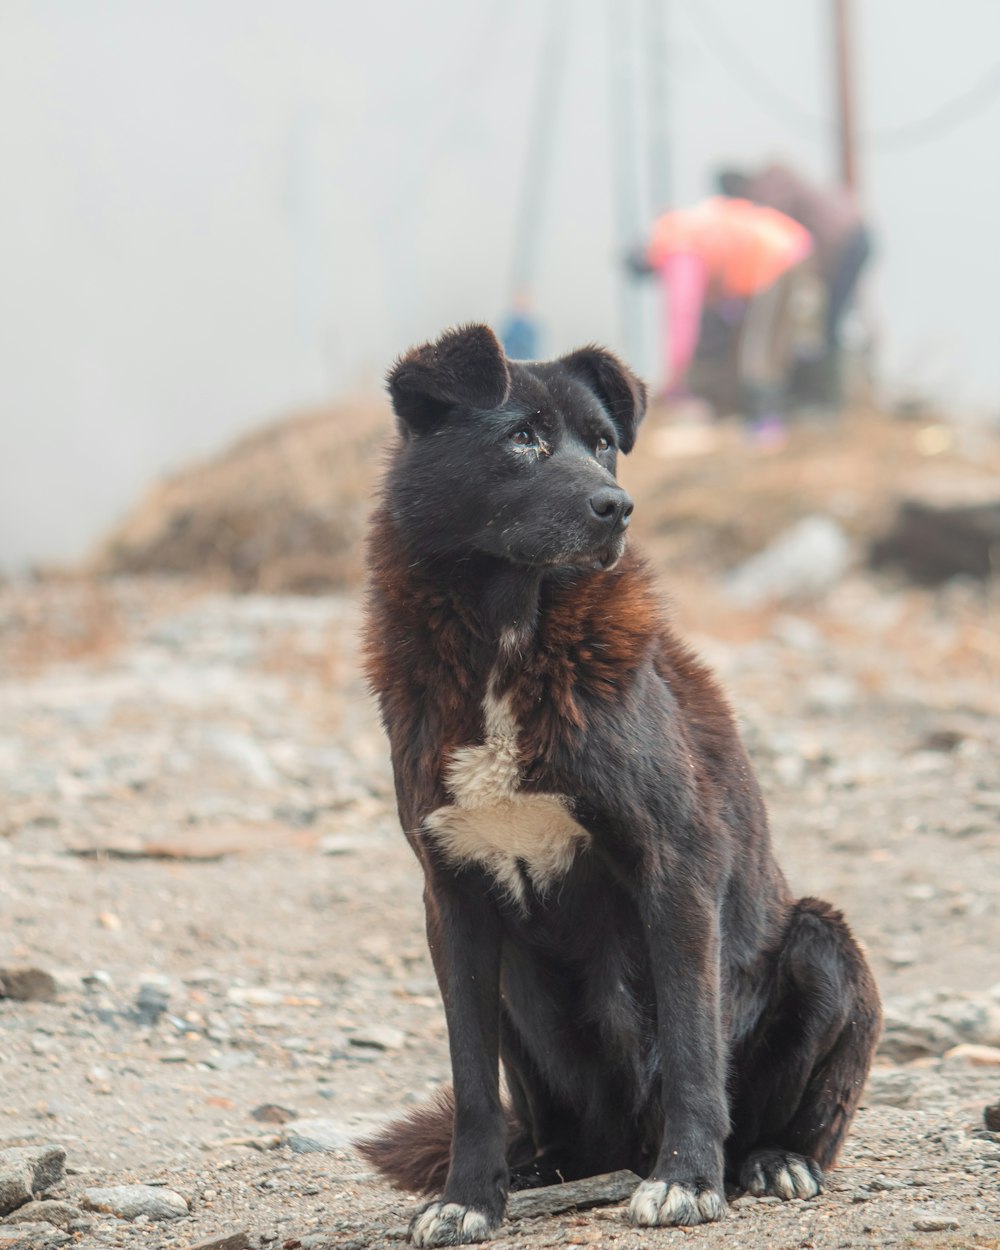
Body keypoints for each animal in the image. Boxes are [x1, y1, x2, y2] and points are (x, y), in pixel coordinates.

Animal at [362, 327, 885, 1245]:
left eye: (603, 442)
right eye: (523, 439)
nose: (617, 505)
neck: (509, 638)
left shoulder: (673, 867)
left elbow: (690, 1044)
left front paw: (687, 1181)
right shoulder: (452, 898)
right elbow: (470, 1082)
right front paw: (468, 1197)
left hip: (824, 945)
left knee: (797, 1106)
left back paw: (770, 1160)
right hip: (520, 996)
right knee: (550, 1125)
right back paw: (540, 1166)